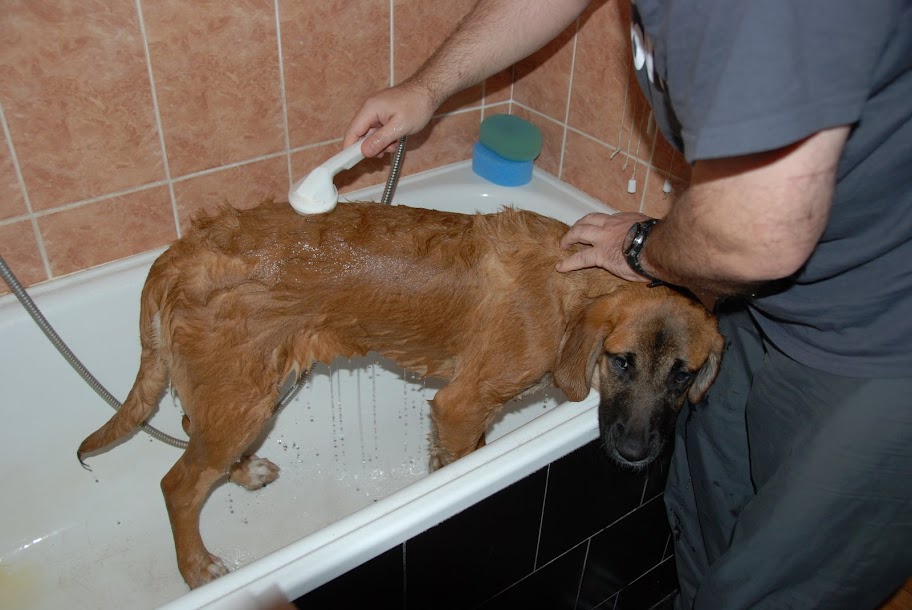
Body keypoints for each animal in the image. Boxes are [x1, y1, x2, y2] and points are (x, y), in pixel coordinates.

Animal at [78, 199, 723, 588]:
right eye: (621, 362)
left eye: (683, 375)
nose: (637, 454)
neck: (575, 286)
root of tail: (183, 252)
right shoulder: (461, 406)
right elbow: (456, 461)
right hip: (243, 402)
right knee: (179, 485)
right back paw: (198, 569)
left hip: (241, 395)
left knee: (193, 433)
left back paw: (245, 472)